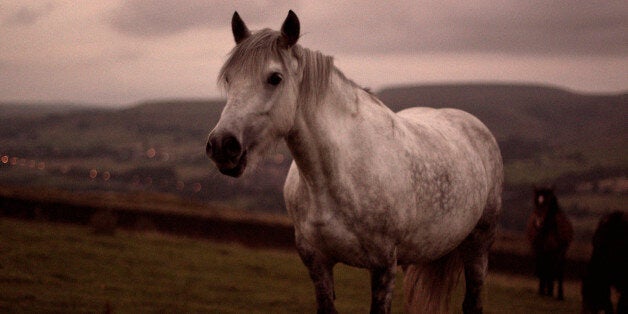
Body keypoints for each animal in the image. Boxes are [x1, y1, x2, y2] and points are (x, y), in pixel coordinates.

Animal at [209, 11, 502, 312]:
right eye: (229, 79)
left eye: (275, 78)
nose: (222, 146)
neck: (338, 176)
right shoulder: (317, 263)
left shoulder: (384, 267)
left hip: (479, 245)